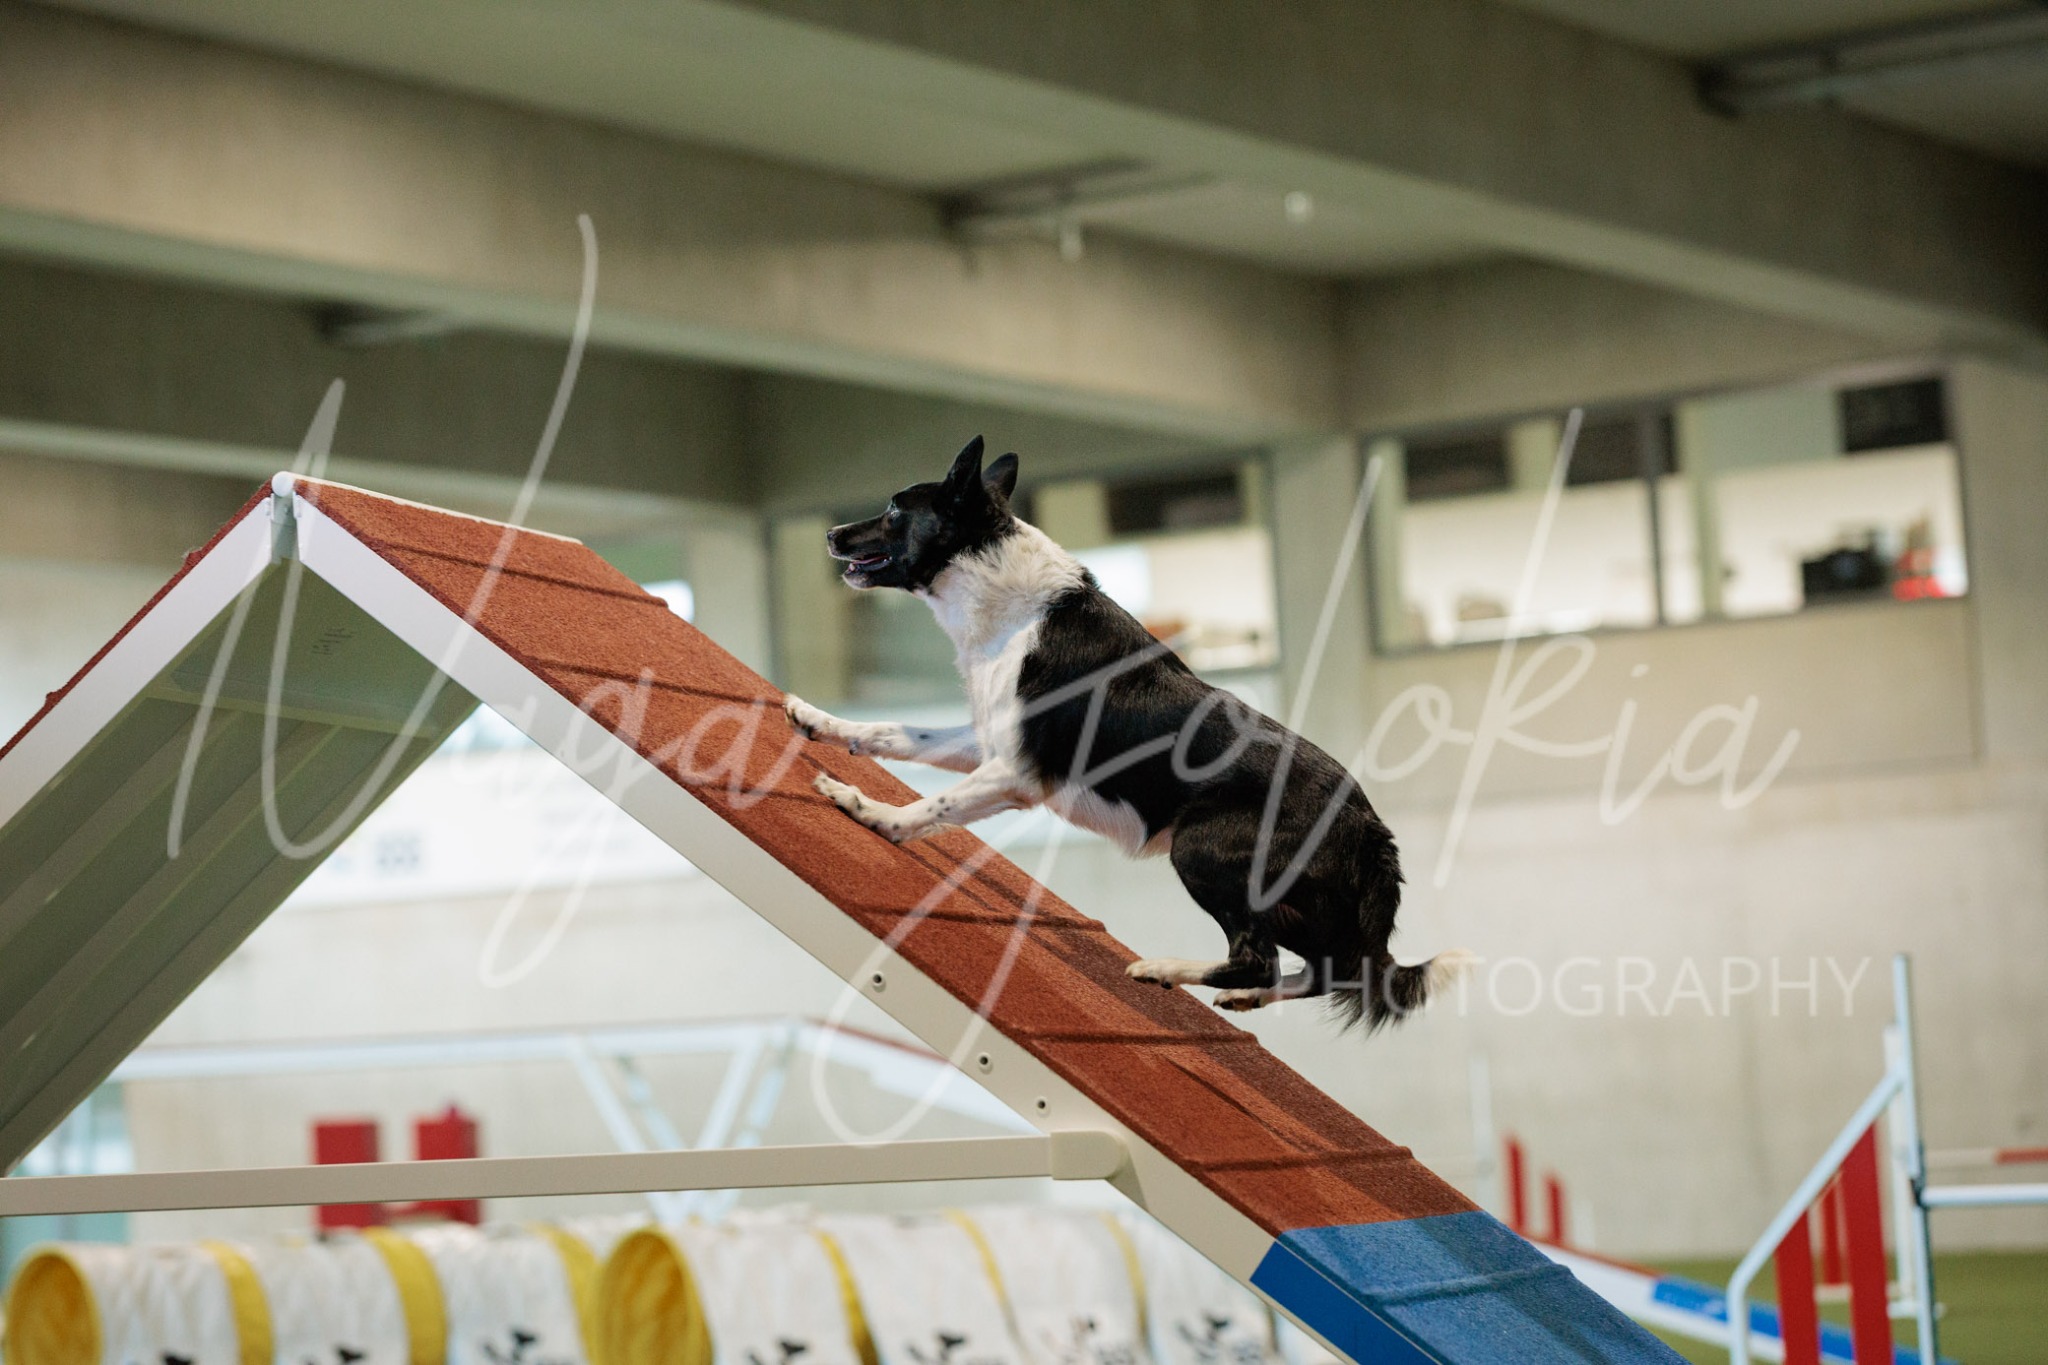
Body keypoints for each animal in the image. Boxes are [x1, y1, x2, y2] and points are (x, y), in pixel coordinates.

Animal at [783, 438, 1470, 1030]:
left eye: (896, 509)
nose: (831, 534)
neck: (1010, 605)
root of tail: (1370, 827)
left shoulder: (1016, 773)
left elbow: (932, 807)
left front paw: (869, 812)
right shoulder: (987, 744)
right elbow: (896, 732)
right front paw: (822, 722)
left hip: (1203, 849)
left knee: (1260, 957)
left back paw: (1164, 968)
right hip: (1297, 904)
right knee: (1322, 971)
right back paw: (1238, 995)